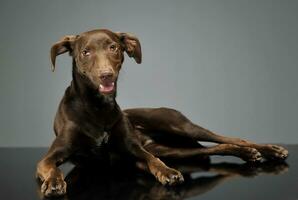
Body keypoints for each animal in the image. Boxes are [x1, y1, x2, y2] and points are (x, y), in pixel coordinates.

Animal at [36, 28, 288, 198]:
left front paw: (166, 172)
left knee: (232, 138)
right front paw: (54, 183)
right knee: (216, 148)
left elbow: (152, 160)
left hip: (179, 126)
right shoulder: (52, 155)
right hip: (173, 150)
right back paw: (248, 154)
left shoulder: (135, 148)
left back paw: (268, 150)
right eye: (86, 52)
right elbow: (50, 167)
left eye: (113, 47)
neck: (98, 108)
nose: (106, 75)